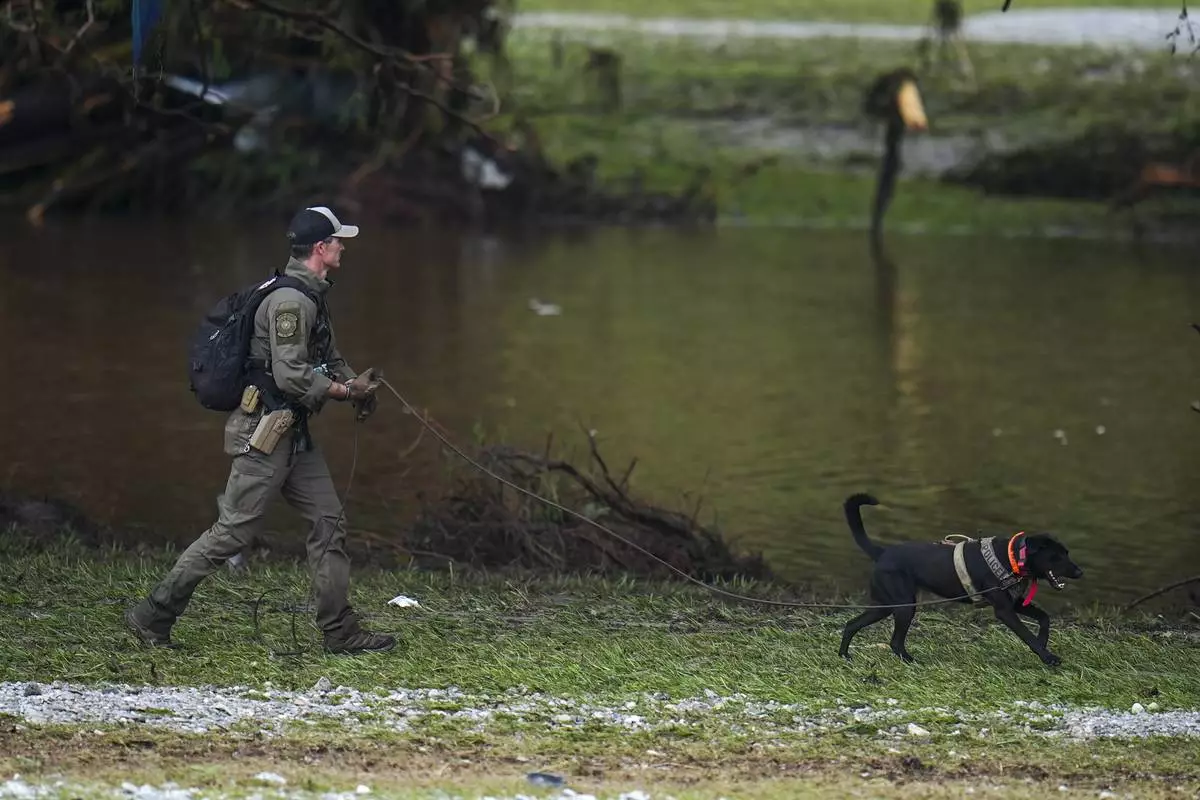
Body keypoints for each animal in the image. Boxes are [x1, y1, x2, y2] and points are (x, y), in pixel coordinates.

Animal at [838, 493, 1083, 666]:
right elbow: (1026, 634)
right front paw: (1048, 657)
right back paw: (912, 662)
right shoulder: (1004, 611)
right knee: (895, 642)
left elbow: (1044, 618)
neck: (1013, 558)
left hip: (886, 605)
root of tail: (882, 552)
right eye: (1057, 556)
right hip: (903, 605)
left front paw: (1043, 641)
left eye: (1067, 552)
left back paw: (844, 656)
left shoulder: (1015, 603)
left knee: (852, 625)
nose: (1080, 572)